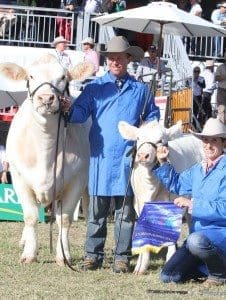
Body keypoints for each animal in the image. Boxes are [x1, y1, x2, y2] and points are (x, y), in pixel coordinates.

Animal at [0, 54, 93, 264]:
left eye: (63, 77)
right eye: (31, 76)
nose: (46, 98)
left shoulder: (77, 180)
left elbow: (64, 219)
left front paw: (63, 255)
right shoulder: (18, 178)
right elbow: (30, 217)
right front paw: (29, 254)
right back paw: (24, 241)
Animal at [118, 119, 203, 274]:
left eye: (160, 140)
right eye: (138, 138)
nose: (143, 155)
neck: (150, 185)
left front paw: (170, 259)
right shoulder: (139, 205)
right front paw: (141, 265)